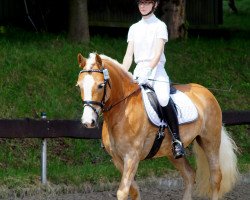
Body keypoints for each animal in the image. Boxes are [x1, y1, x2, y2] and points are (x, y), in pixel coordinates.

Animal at [75, 52, 238, 199]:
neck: (122, 109)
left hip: (210, 140)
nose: (88, 122)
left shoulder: (132, 157)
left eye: (100, 85)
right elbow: (134, 190)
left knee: (215, 177)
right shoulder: (117, 158)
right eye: (79, 86)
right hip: (172, 152)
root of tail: (205, 91)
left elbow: (122, 192)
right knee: (189, 175)